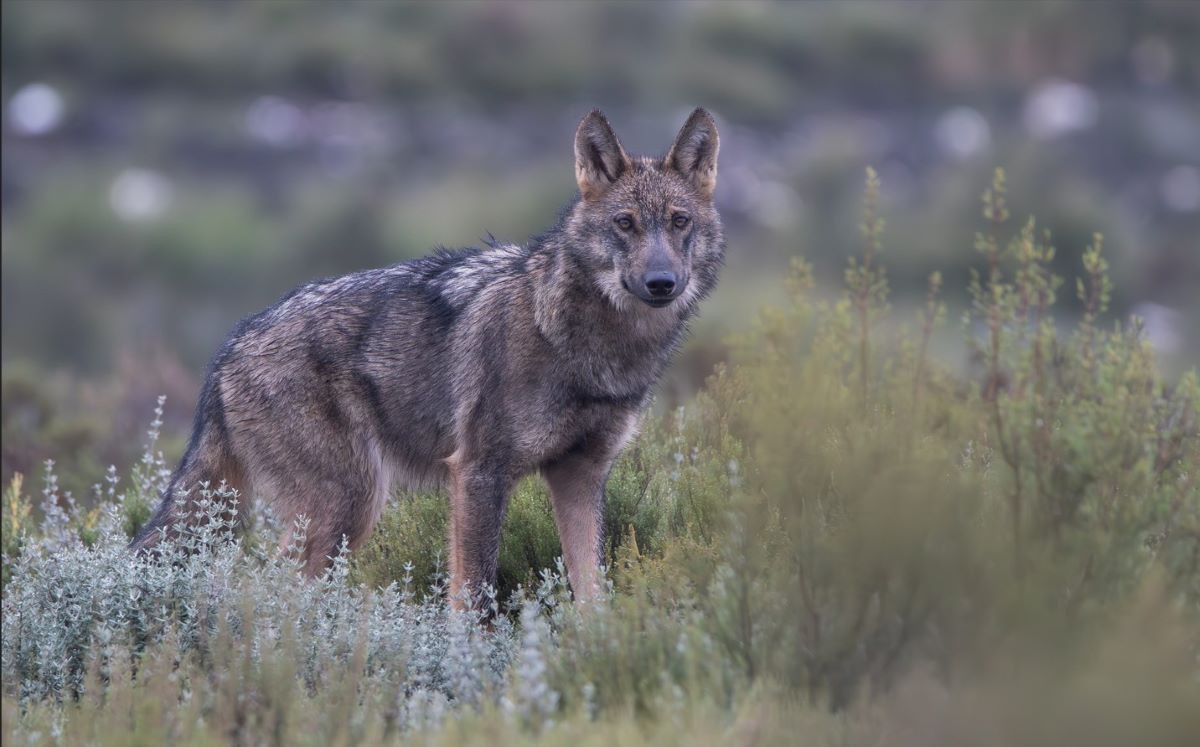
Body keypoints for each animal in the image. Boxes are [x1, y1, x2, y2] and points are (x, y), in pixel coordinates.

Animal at [131, 108, 723, 605]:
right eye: (625, 223)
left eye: (678, 222)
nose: (661, 282)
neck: (579, 341)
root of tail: (231, 344)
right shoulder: (478, 473)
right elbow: (474, 599)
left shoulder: (580, 476)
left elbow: (592, 593)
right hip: (349, 507)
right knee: (262, 589)